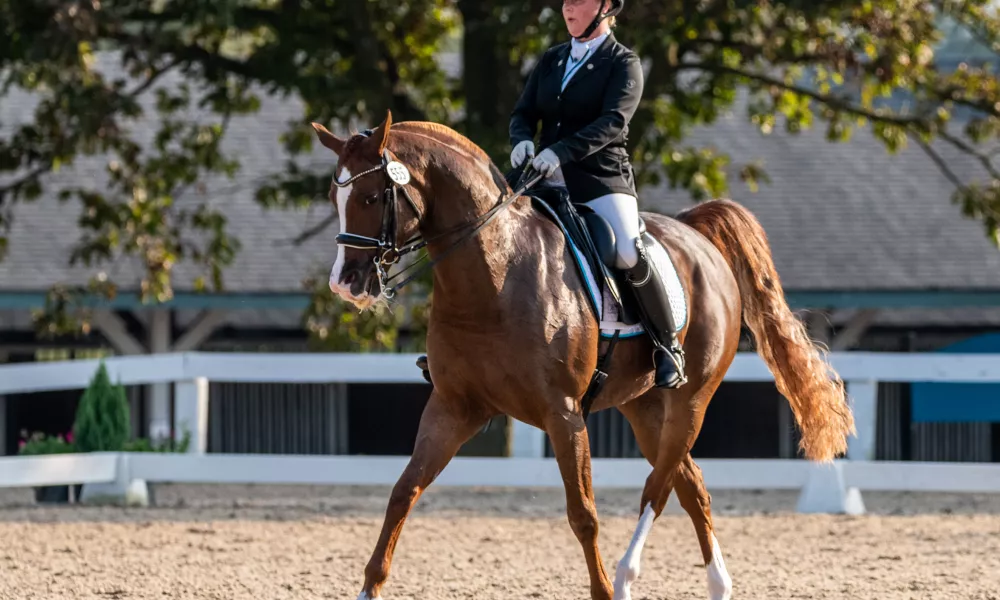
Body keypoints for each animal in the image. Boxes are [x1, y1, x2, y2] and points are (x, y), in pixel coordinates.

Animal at [310, 113, 852, 600]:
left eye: (371, 196)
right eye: (335, 199)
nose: (345, 284)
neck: (494, 273)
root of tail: (695, 234)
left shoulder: (563, 413)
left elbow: (583, 514)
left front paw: (604, 589)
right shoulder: (454, 407)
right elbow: (403, 492)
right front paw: (369, 588)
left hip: (691, 400)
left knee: (658, 488)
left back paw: (627, 577)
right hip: (644, 406)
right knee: (689, 484)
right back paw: (717, 586)